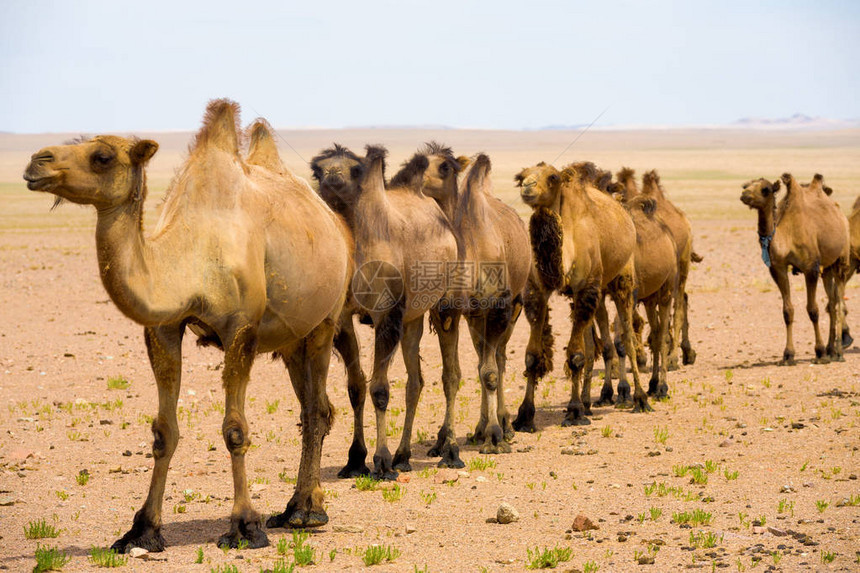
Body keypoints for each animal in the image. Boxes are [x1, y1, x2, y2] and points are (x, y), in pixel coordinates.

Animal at [23, 100, 352, 552]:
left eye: (103, 156)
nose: (37, 161)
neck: (189, 255)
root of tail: (336, 225)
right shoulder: (163, 328)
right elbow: (164, 432)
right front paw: (142, 530)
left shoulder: (241, 329)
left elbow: (235, 430)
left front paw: (245, 526)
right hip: (290, 341)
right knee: (312, 407)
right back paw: (292, 509)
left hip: (325, 319)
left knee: (317, 409)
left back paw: (307, 512)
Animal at [310, 144, 460, 478]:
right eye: (318, 168)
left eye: (355, 169)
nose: (333, 175)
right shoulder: (343, 319)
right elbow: (356, 386)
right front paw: (355, 459)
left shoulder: (387, 313)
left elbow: (379, 388)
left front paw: (381, 460)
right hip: (413, 317)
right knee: (415, 382)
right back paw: (403, 455)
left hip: (445, 304)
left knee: (451, 375)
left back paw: (450, 452)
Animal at [404, 145, 532, 462]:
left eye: (445, 166)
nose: (412, 178)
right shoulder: (447, 313)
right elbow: (452, 376)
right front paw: (446, 444)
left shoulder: (498, 308)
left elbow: (491, 372)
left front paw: (496, 438)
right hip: (475, 318)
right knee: (481, 358)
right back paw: (479, 429)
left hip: (514, 307)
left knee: (498, 359)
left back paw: (504, 427)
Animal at [510, 159, 652, 426]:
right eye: (521, 176)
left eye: (553, 177)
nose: (528, 186)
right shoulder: (538, 290)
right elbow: (533, 356)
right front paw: (525, 415)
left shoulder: (585, 287)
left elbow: (576, 355)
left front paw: (574, 411)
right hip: (597, 291)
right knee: (596, 339)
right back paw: (589, 401)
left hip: (622, 279)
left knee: (627, 336)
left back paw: (639, 399)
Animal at [740, 172, 852, 364]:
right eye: (746, 185)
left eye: (765, 189)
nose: (745, 195)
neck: (786, 235)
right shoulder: (777, 268)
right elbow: (787, 311)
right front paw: (788, 355)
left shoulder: (811, 268)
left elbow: (813, 310)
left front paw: (819, 352)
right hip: (827, 268)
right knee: (831, 303)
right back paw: (831, 349)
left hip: (841, 260)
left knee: (838, 303)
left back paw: (837, 352)